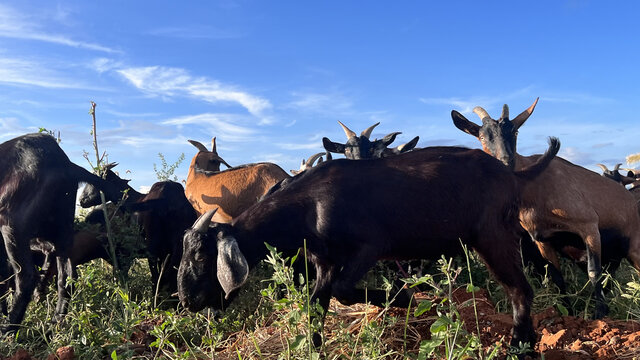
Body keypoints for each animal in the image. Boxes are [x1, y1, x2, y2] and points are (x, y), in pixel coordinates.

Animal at [0, 134, 122, 330]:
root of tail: (65, 164)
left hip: (13, 227)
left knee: (26, 278)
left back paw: (9, 328)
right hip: (62, 235)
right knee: (66, 279)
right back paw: (54, 324)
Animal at [178, 137, 556, 348]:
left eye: (201, 257)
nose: (186, 301)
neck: (308, 203)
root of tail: (512, 174)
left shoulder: (369, 247)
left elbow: (344, 291)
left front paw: (402, 298)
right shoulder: (324, 262)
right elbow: (316, 306)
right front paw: (316, 347)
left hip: (493, 235)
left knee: (520, 290)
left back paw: (519, 346)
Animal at [452, 98, 640, 318]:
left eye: (515, 131)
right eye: (482, 136)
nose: (505, 162)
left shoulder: (589, 226)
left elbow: (594, 272)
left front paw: (599, 313)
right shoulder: (543, 240)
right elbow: (557, 278)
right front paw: (567, 312)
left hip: (634, 247)